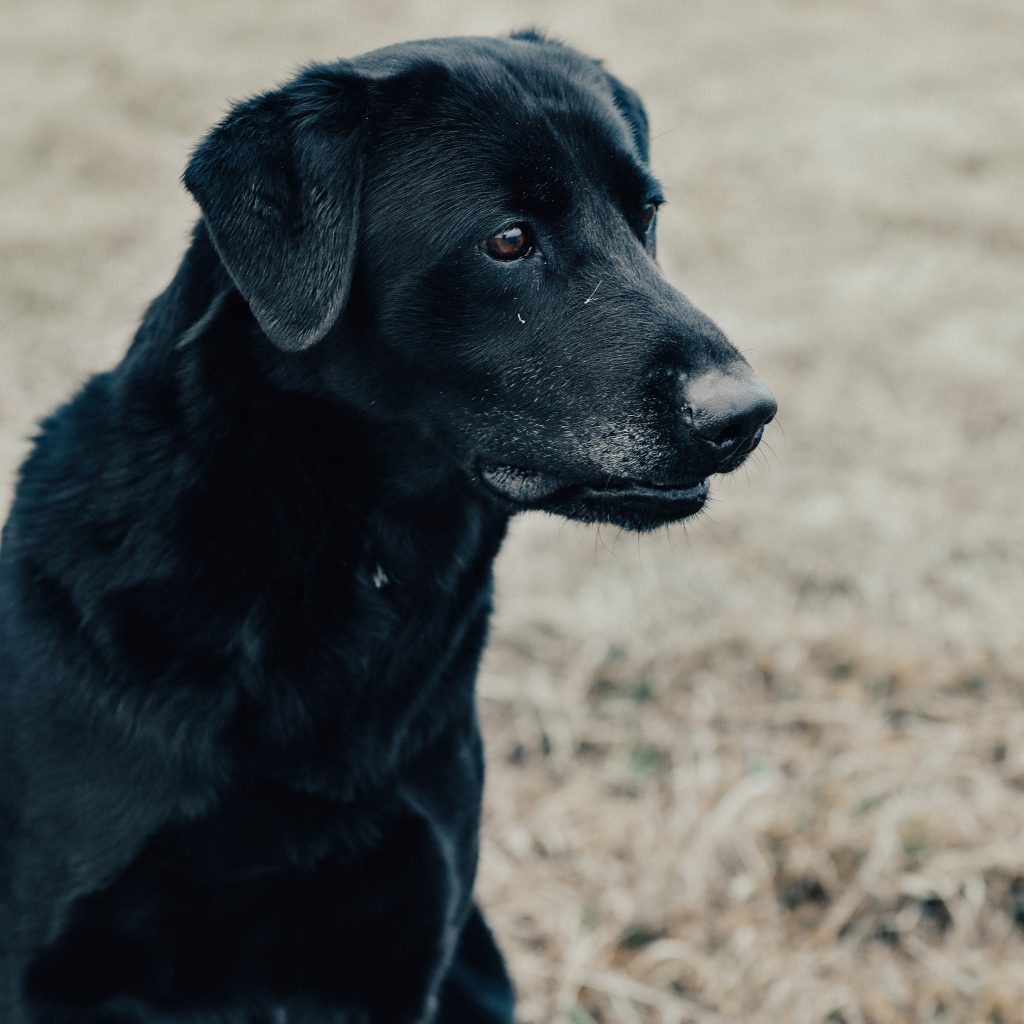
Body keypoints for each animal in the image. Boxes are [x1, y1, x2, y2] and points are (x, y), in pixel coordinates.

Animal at [0, 32, 770, 1024]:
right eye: (508, 240)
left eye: (646, 217)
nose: (746, 416)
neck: (331, 564)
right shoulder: (53, 960)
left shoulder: (406, 943)